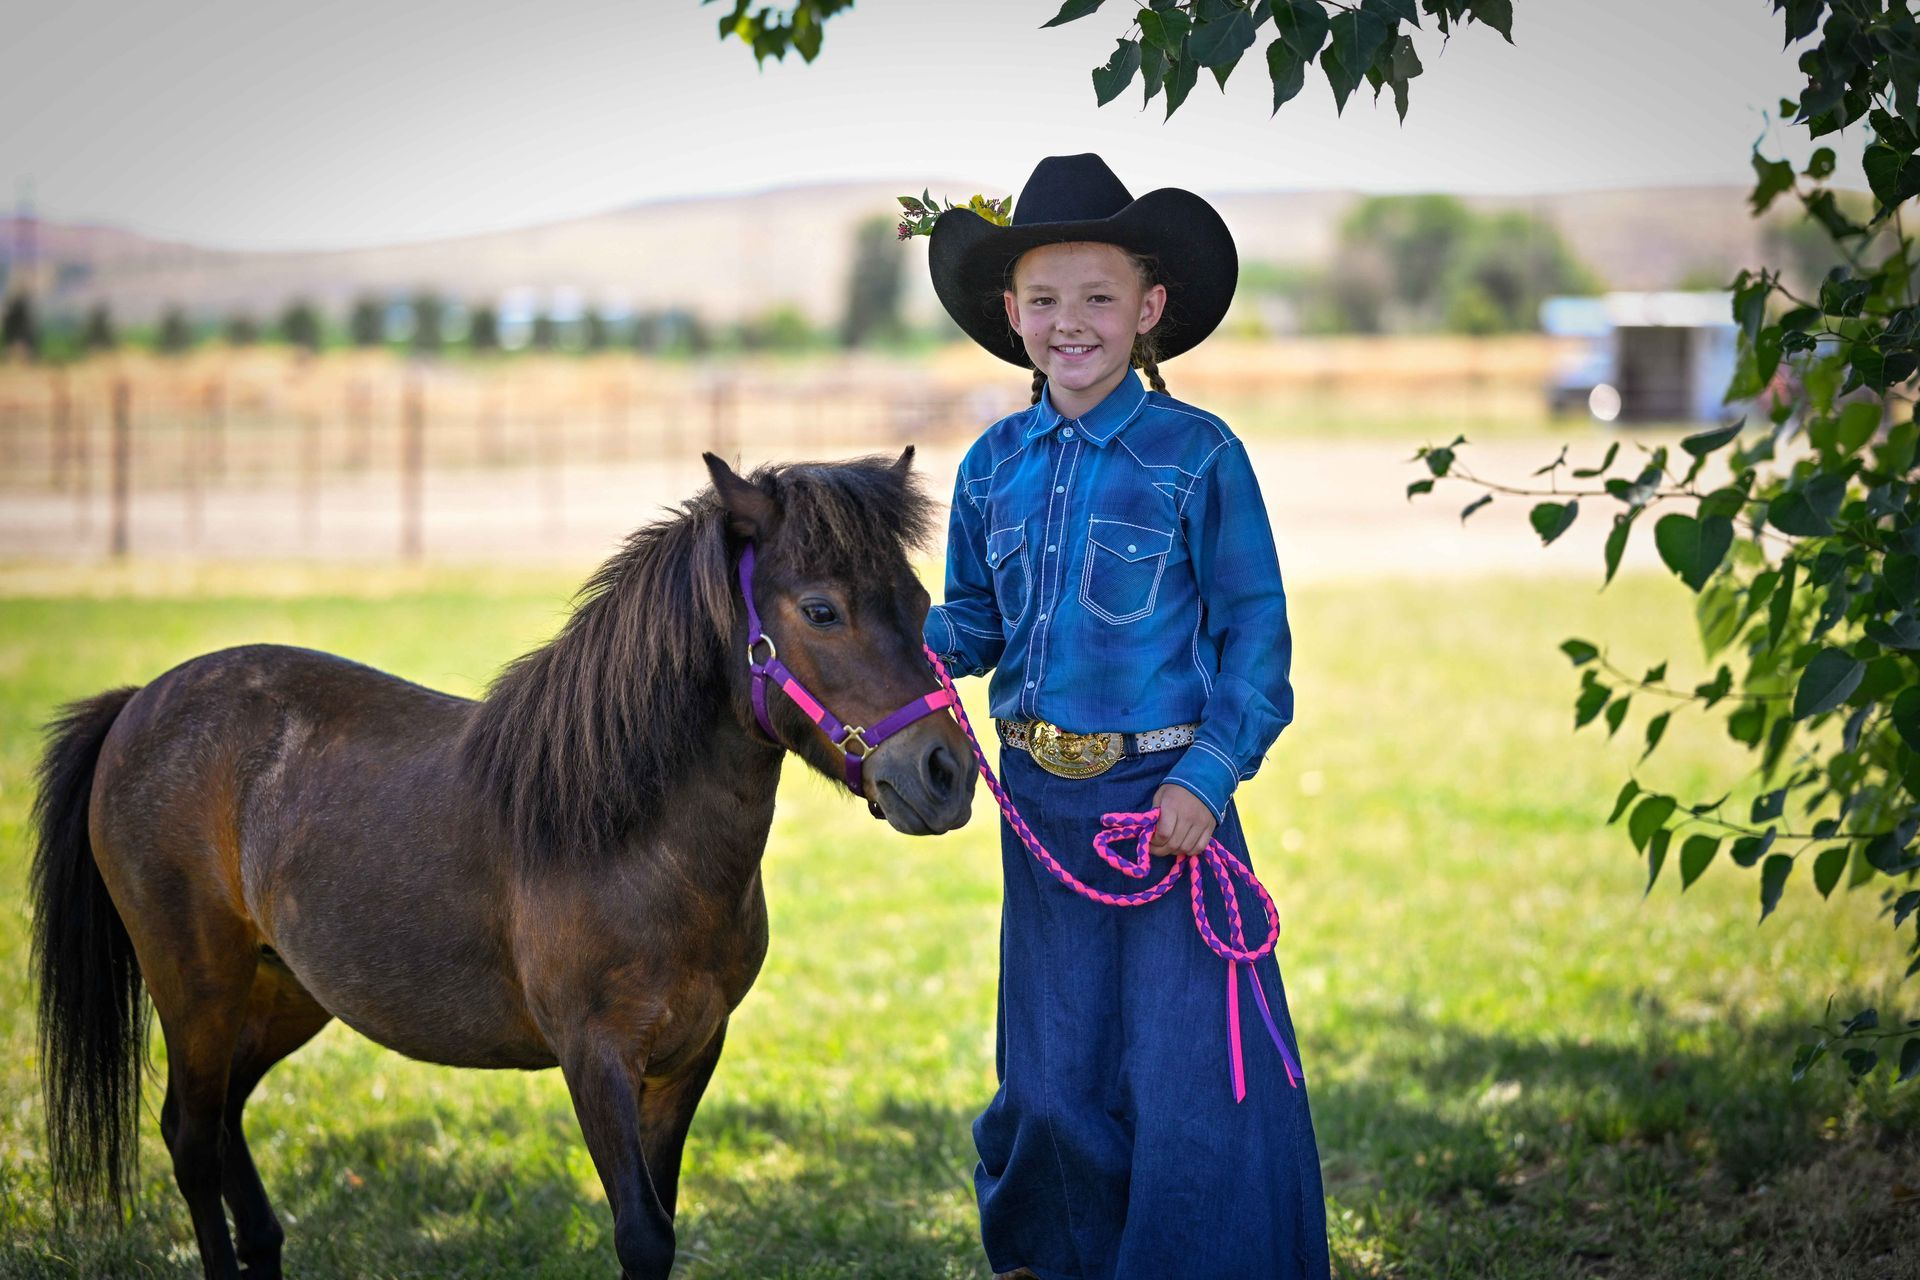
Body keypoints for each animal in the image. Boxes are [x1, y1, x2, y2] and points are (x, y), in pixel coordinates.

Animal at [22, 445, 967, 1274]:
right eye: (821, 610)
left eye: (921, 598)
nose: (945, 773)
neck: (626, 837)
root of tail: (139, 703)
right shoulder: (595, 1058)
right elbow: (642, 1235)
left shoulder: (691, 1055)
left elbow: (662, 1217)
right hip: (198, 985)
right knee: (189, 1137)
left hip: (281, 991)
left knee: (220, 1124)